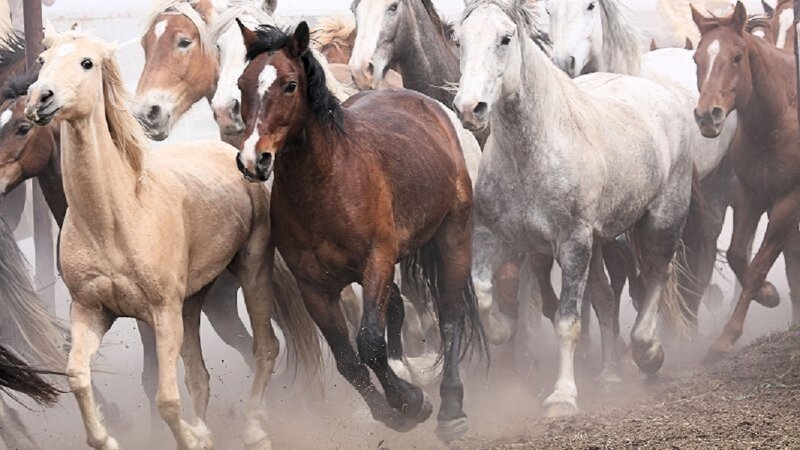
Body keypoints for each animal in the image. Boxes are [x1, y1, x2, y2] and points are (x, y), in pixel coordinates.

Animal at [25, 29, 321, 449]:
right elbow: (78, 378)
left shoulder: (162, 313)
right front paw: (110, 439)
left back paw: (254, 429)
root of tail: (233, 155)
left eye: (87, 62)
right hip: (192, 303)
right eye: (41, 59)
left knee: (265, 348)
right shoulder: (90, 310)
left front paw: (193, 439)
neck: (114, 218)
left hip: (252, 269)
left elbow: (166, 399)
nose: (40, 99)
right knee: (200, 376)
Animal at [235, 21, 485, 442]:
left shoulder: (377, 262)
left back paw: (452, 410)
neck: (326, 187)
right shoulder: (313, 287)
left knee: (450, 316)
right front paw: (396, 411)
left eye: (289, 85)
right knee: (398, 309)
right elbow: (348, 360)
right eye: (242, 84)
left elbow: (369, 343)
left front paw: (411, 401)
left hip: (454, 235)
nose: (254, 159)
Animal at [454, 0, 696, 415]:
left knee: (655, 275)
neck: (531, 156)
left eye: (505, 38)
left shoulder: (572, 244)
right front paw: (502, 329)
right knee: (605, 297)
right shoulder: (496, 236)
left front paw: (562, 397)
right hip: (598, 242)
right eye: (459, 40)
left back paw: (648, 352)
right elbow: (482, 289)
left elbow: (568, 321)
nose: (471, 108)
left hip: (662, 219)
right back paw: (610, 374)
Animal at [692, 2, 800, 359]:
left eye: (737, 56)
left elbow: (758, 265)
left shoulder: (788, 201)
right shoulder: (750, 196)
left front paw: (727, 337)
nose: (707, 115)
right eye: (696, 58)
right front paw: (769, 294)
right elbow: (739, 256)